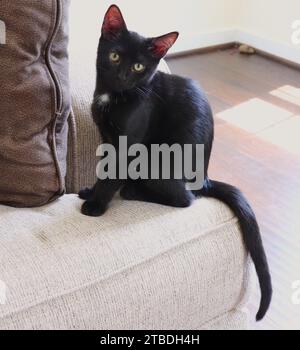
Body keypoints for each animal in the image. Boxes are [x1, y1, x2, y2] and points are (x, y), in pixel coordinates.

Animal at [79, 4, 272, 322]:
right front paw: (90, 192)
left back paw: (134, 191)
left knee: (185, 199)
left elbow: (112, 176)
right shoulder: (106, 139)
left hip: (157, 161)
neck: (114, 96)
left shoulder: (127, 146)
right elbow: (103, 170)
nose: (121, 75)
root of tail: (204, 178)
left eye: (138, 67)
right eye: (115, 56)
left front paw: (96, 204)